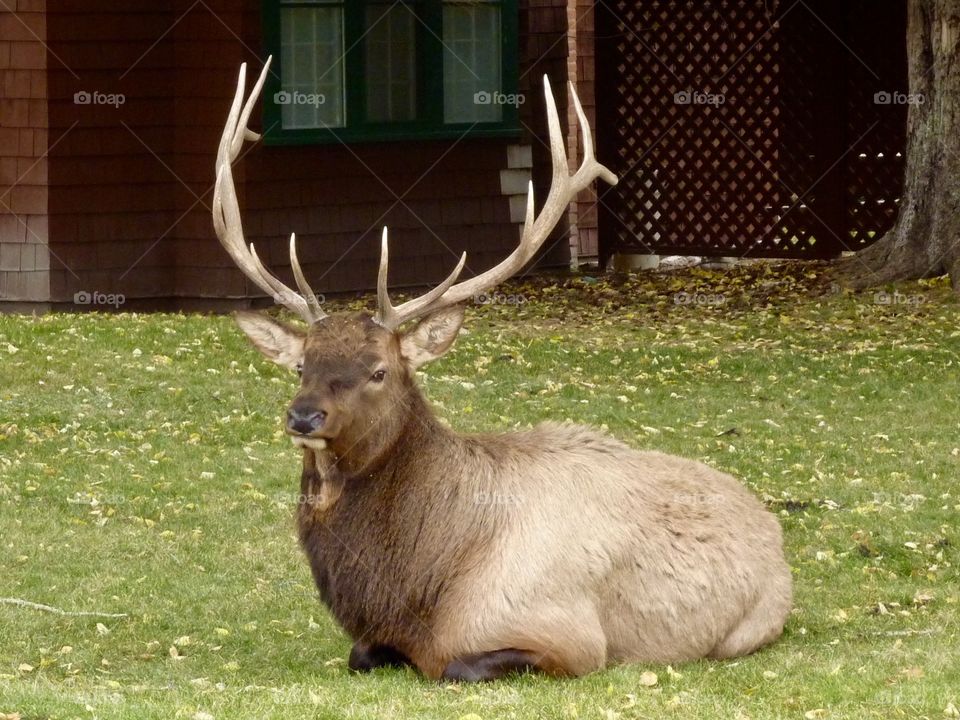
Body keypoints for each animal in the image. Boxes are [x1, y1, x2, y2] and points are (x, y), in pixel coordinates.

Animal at [211, 58, 792, 682]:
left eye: (378, 370)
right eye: (301, 364)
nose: (303, 416)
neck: (417, 591)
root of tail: (772, 525)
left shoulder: (569, 636)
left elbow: (457, 666)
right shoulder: (374, 640)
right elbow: (360, 654)